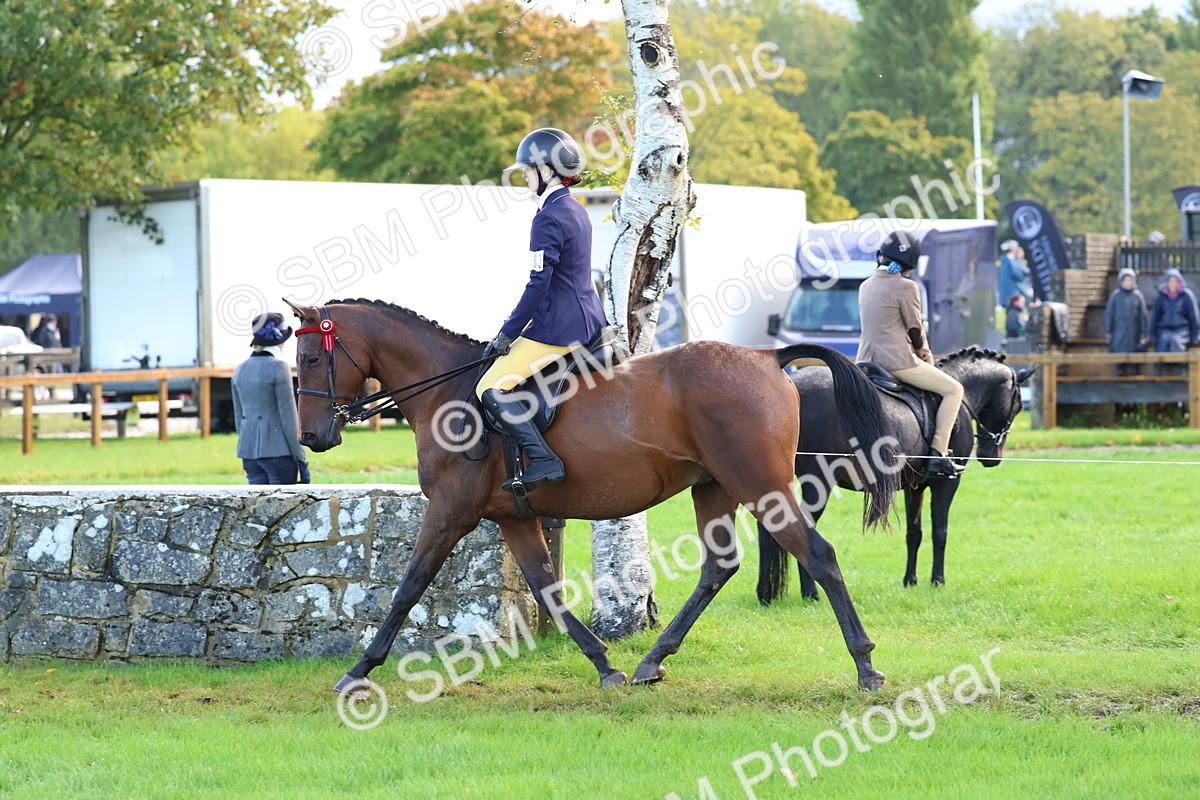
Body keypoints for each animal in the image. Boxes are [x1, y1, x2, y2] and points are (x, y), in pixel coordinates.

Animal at [285, 298, 900, 692]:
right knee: (718, 567)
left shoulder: (449, 511)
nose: (313, 437)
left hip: (759, 483)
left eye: (311, 359)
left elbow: (409, 585)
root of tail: (767, 357)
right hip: (714, 488)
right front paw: (605, 665)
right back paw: (652, 661)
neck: (450, 390)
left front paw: (359, 670)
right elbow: (545, 589)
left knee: (816, 553)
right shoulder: (512, 517)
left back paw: (866, 666)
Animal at [756, 347, 1036, 605]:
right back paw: (811, 593)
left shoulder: (915, 488)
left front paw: (910, 581)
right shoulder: (946, 483)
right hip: (819, 484)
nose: (991, 457)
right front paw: (938, 580)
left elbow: (914, 533)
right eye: (1018, 405)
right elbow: (940, 531)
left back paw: (767, 593)